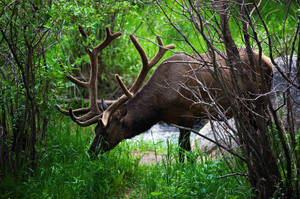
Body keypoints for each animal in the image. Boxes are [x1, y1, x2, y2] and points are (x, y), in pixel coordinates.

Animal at [56, 26, 274, 162]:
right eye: (94, 131)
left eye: (105, 131)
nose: (90, 153)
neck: (159, 107)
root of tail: (268, 60)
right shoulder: (177, 120)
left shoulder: (188, 115)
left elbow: (183, 151)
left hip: (259, 99)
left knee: (266, 125)